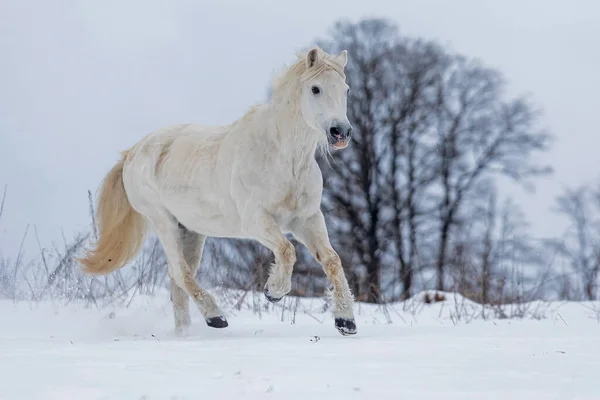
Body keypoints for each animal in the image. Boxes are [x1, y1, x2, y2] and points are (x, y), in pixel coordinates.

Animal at [76, 45, 356, 336]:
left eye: (346, 89)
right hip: (163, 222)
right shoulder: (256, 221)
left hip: (191, 231)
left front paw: (346, 321)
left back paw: (185, 334)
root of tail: (132, 152)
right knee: (181, 273)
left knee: (178, 281)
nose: (340, 132)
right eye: (315, 88)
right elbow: (287, 250)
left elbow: (332, 260)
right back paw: (215, 317)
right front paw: (274, 292)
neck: (283, 159)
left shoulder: (307, 220)